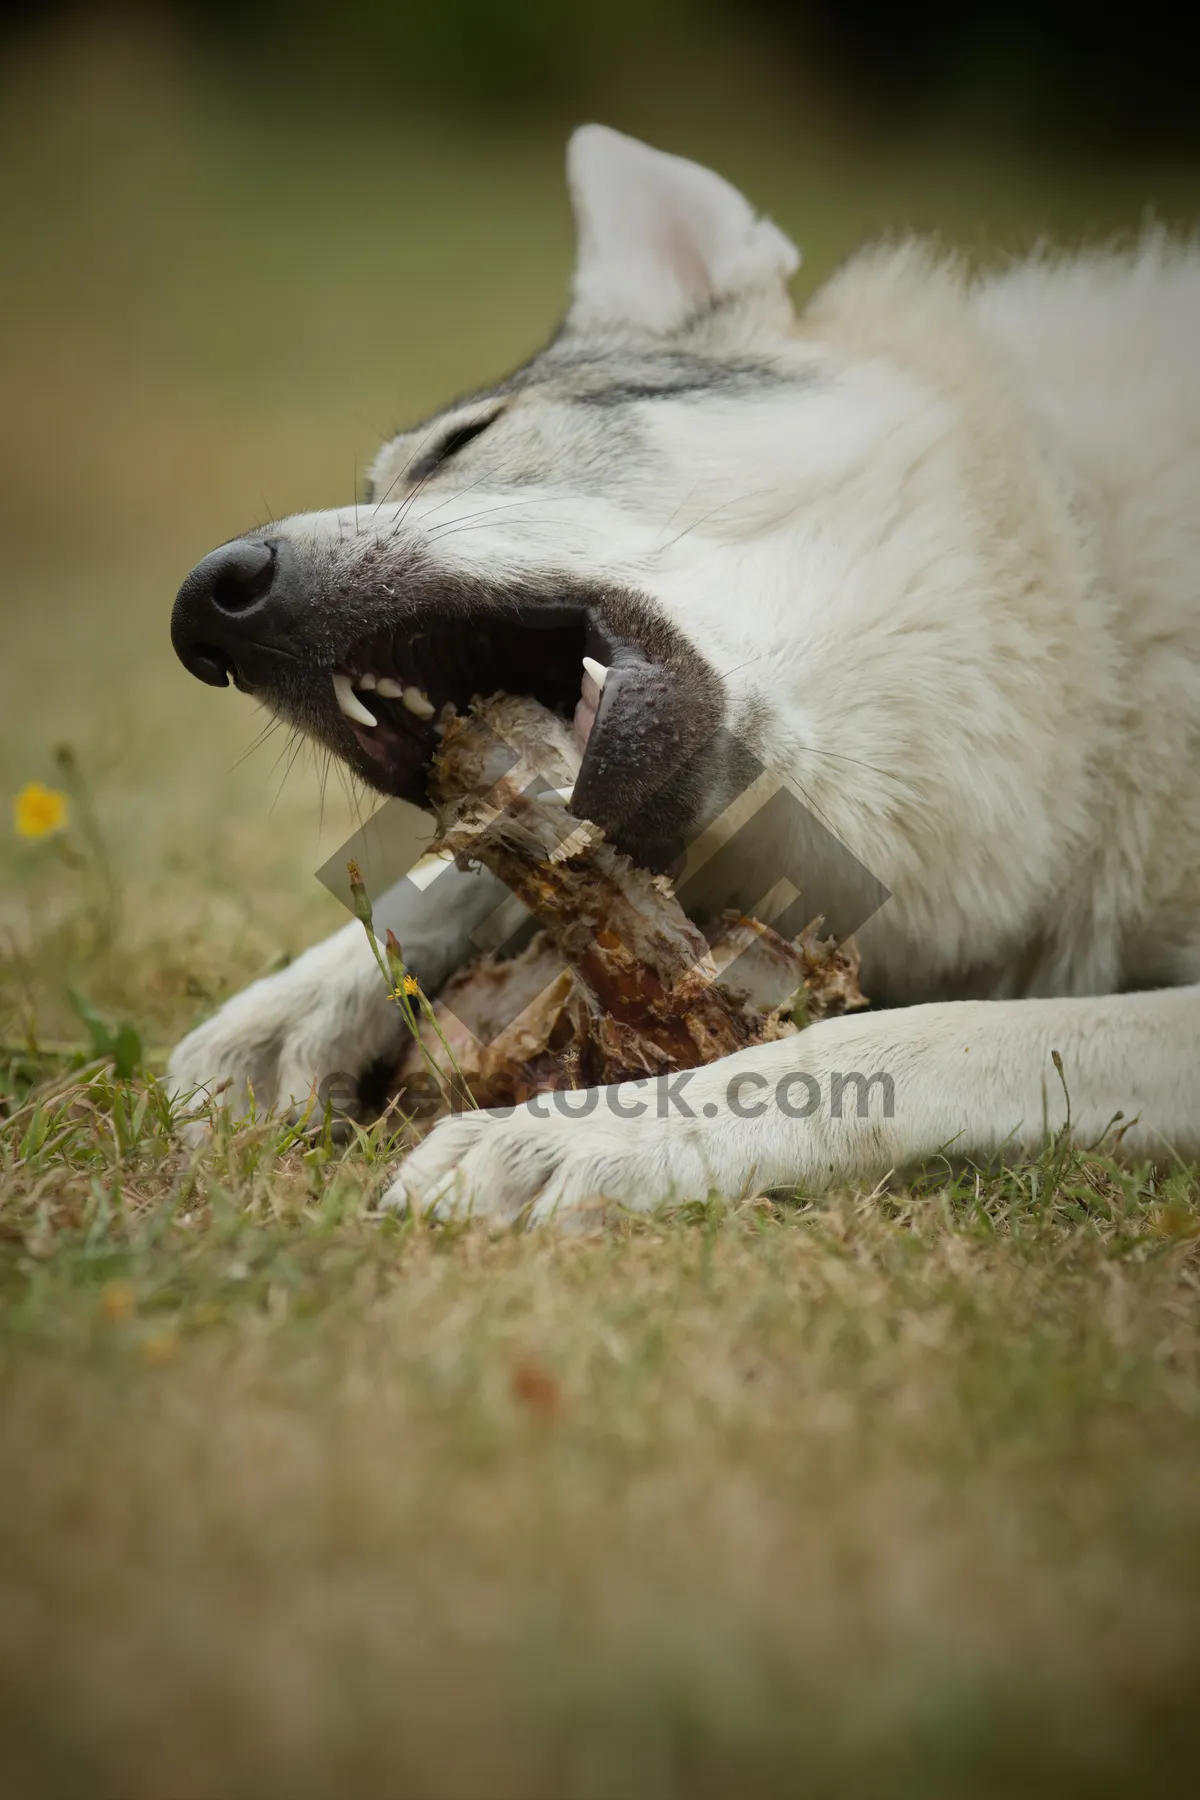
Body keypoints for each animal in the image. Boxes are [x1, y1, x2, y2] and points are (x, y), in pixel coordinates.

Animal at [164, 130, 1194, 1224]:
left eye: (462, 441)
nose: (201, 611)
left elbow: (914, 1038)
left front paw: (600, 1132)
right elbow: (468, 876)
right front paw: (288, 1011)